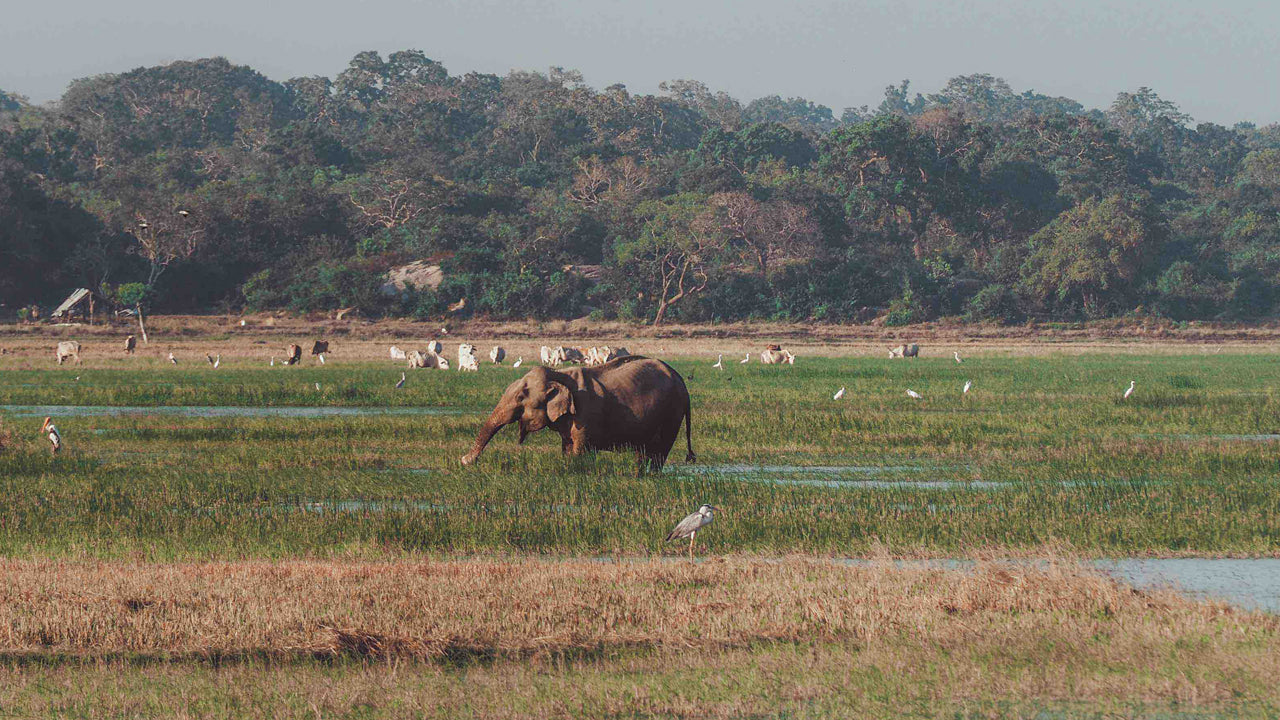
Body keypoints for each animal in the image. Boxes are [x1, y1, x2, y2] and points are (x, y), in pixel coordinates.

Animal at [463, 353, 696, 471]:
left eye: (521, 398)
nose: (465, 461)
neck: (559, 374)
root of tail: (682, 381)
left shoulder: (586, 413)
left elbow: (580, 450)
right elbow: (567, 447)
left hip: (672, 412)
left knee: (659, 450)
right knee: (644, 451)